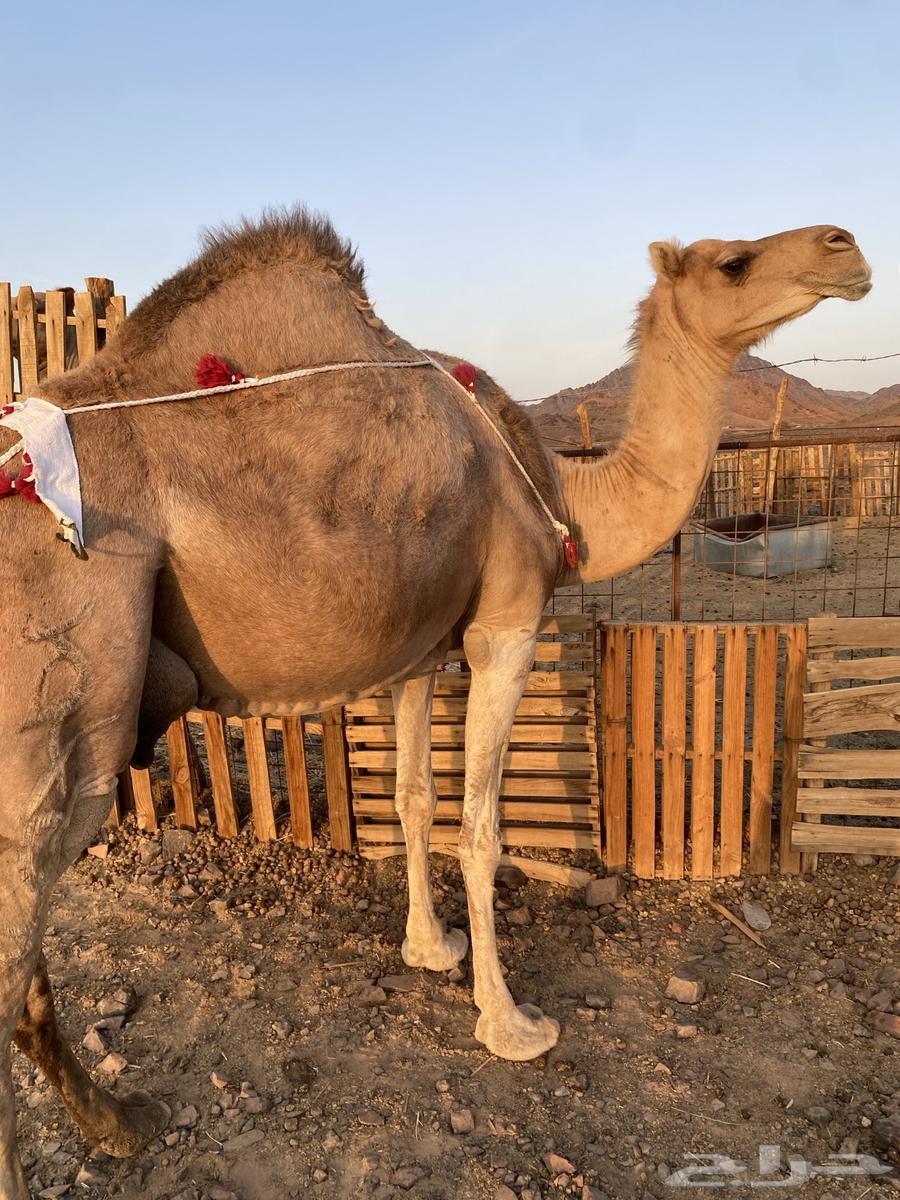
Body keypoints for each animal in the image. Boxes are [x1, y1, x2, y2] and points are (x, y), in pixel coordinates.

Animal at [0, 210, 870, 1198]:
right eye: (733, 262)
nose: (845, 247)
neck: (564, 492)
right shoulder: (507, 624)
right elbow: (481, 829)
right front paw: (512, 1023)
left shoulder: (417, 652)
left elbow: (415, 799)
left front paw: (431, 949)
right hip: (64, 684)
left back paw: (122, 1123)